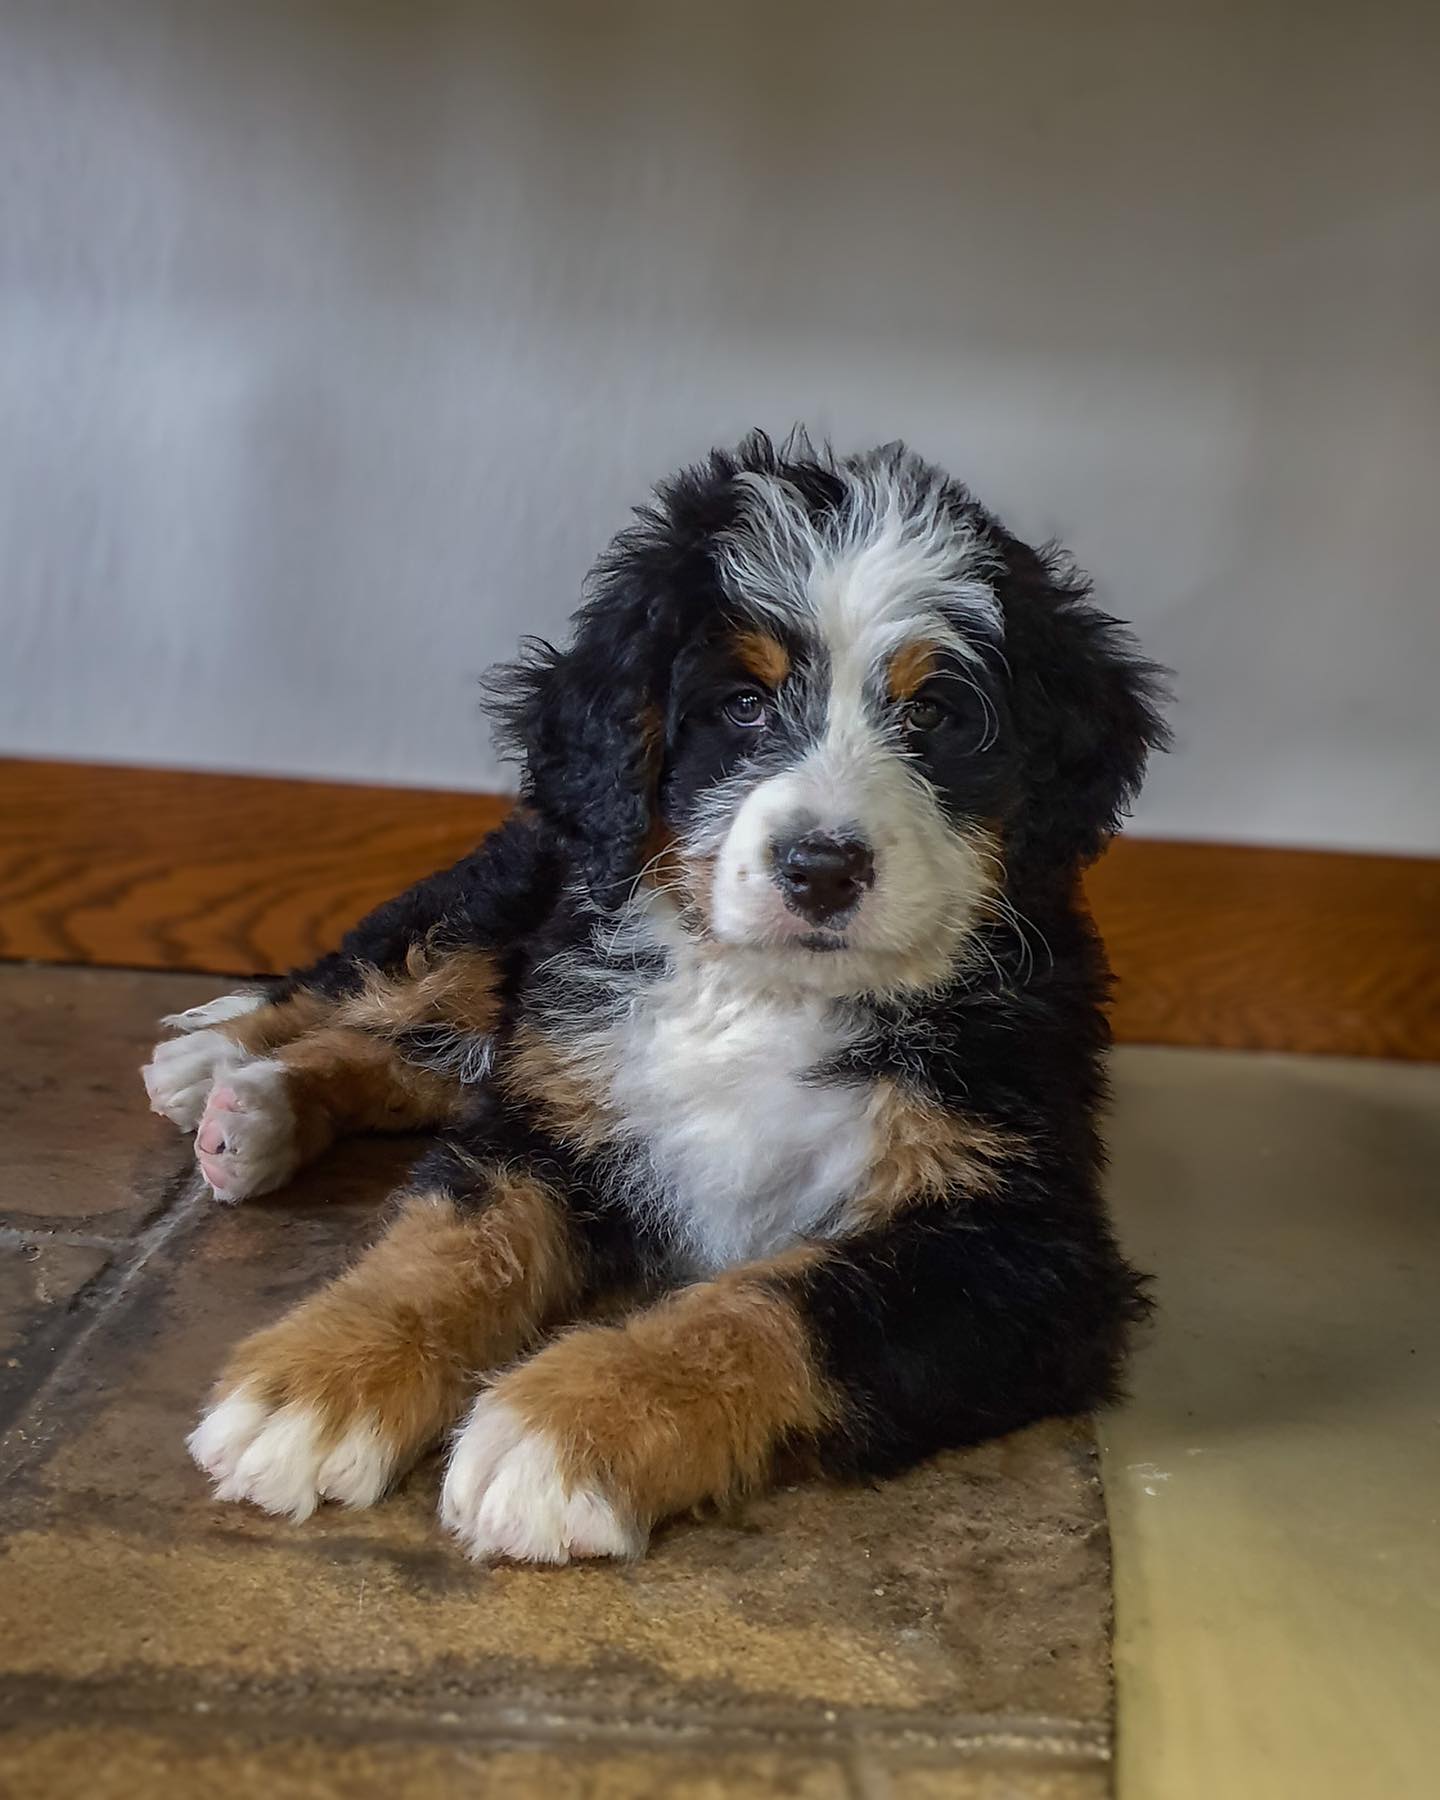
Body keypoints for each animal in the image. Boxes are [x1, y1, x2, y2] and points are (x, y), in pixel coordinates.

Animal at [140, 432, 1166, 1562]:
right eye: (745, 704)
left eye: (933, 712)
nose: (822, 868)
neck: (765, 990)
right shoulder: (556, 1110)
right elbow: (452, 1238)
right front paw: (316, 1381)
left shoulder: (1025, 1248)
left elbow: (777, 1301)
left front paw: (567, 1425)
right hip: (512, 903)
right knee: (386, 990)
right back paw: (219, 1058)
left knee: (429, 1060)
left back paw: (253, 1112)